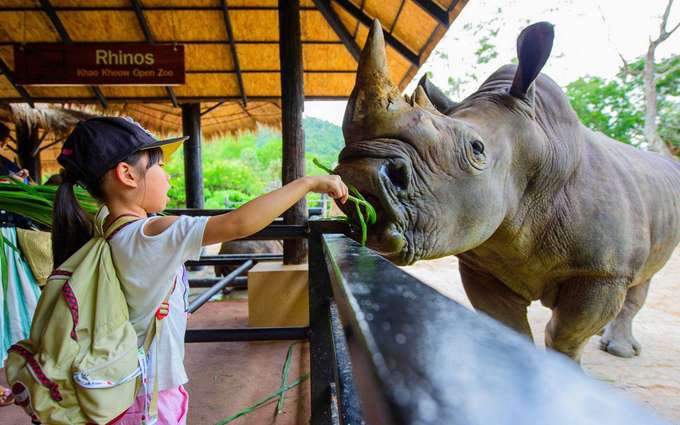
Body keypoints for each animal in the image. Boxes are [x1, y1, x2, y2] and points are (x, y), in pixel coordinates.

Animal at [335, 20, 680, 362]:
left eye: (476, 149)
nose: (360, 173)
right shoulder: (482, 264)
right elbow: (510, 326)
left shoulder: (601, 271)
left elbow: (565, 336)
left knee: (644, 276)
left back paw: (620, 350)